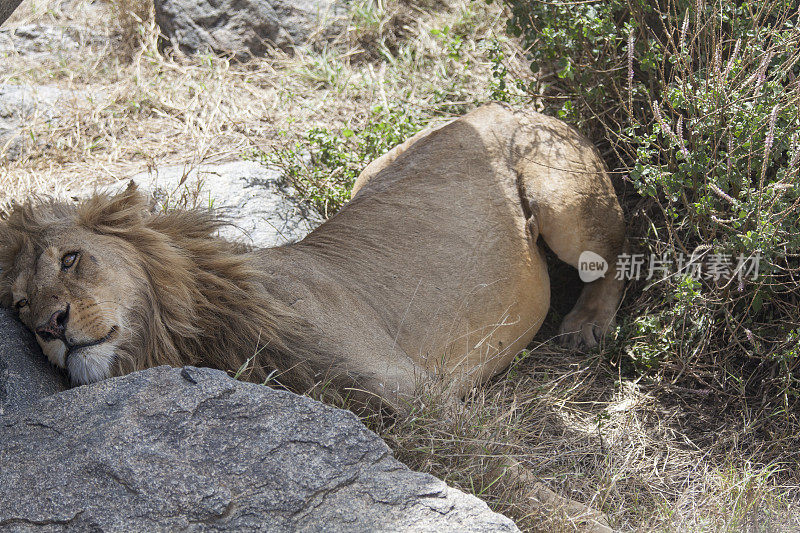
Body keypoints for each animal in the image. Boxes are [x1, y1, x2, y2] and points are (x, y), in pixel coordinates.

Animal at [0, 103, 624, 412]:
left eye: (71, 259)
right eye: (22, 307)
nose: (52, 327)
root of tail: (499, 102)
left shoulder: (417, 394)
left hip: (566, 205)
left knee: (619, 253)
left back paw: (586, 325)